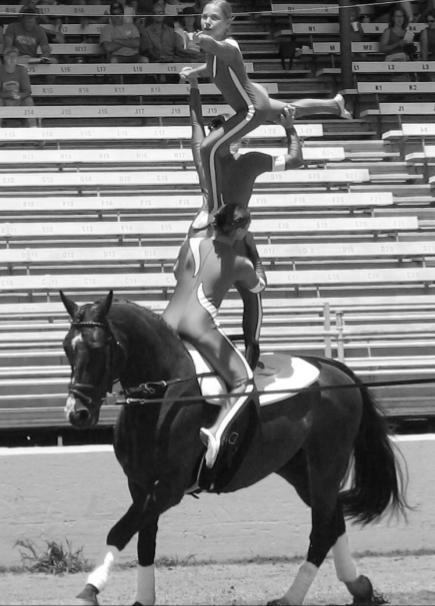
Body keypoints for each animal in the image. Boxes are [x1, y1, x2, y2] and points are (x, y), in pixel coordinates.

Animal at [60, 292, 408, 604]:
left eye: (97, 347)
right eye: (66, 347)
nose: (77, 412)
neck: (163, 396)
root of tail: (332, 368)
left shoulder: (169, 488)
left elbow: (120, 531)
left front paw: (89, 591)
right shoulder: (141, 484)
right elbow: (144, 541)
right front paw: (142, 599)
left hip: (327, 463)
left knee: (322, 529)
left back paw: (290, 598)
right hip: (299, 471)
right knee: (334, 521)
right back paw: (359, 587)